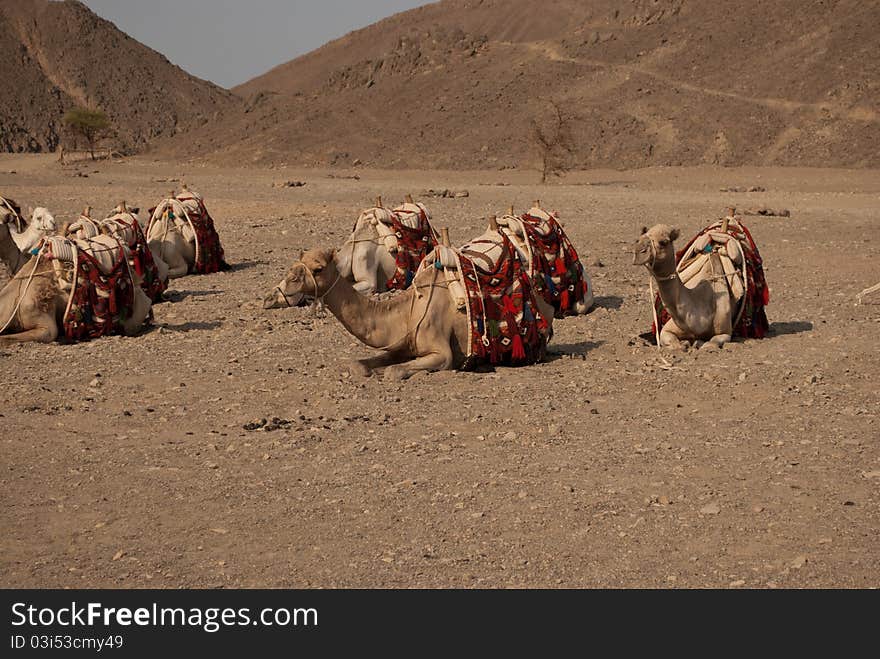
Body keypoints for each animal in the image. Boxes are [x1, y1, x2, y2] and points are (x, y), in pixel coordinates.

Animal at [272, 248, 552, 382]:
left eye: (318, 268)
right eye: (294, 265)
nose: (286, 286)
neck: (407, 311)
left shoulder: (442, 353)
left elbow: (394, 371)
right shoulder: (401, 346)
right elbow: (360, 365)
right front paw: (368, 370)